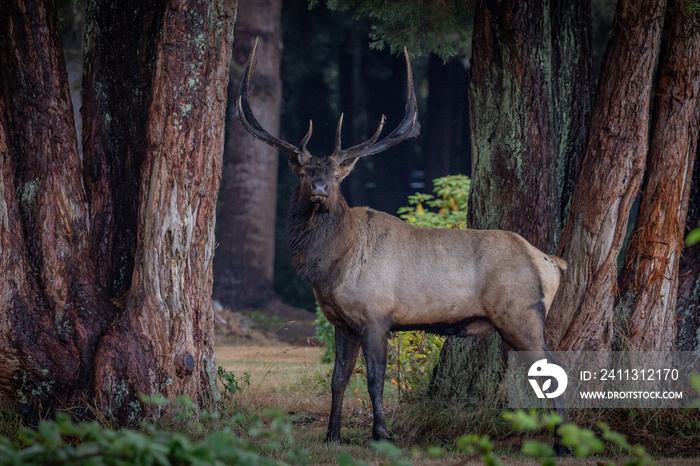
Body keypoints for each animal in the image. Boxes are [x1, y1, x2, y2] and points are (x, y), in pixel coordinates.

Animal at [238, 42, 568, 444]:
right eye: (302, 172)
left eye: (336, 174)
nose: (319, 188)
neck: (331, 267)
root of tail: (551, 262)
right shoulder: (342, 322)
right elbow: (338, 380)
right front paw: (332, 435)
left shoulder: (376, 315)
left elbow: (375, 380)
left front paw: (381, 434)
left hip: (521, 312)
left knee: (555, 367)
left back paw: (562, 443)